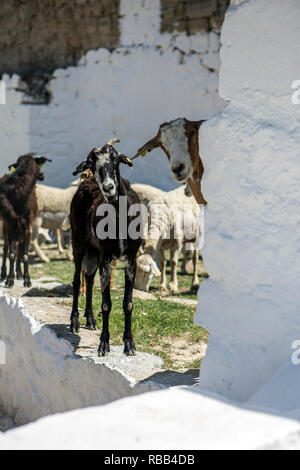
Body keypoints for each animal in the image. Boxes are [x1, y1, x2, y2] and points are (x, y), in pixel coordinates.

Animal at [0, 154, 51, 286]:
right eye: (38, 165)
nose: (42, 174)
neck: (19, 195)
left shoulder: (27, 227)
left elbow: (25, 254)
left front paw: (27, 279)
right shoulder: (10, 226)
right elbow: (11, 254)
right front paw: (9, 280)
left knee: (20, 247)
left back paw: (19, 273)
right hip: (6, 226)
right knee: (6, 248)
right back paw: (4, 274)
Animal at [70, 139, 142, 356]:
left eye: (116, 159)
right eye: (92, 164)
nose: (109, 187)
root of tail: (86, 183)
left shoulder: (131, 258)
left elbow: (128, 303)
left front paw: (129, 345)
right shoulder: (107, 257)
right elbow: (106, 304)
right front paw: (103, 345)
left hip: (94, 252)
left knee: (89, 279)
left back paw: (90, 319)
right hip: (78, 242)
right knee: (77, 280)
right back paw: (74, 321)